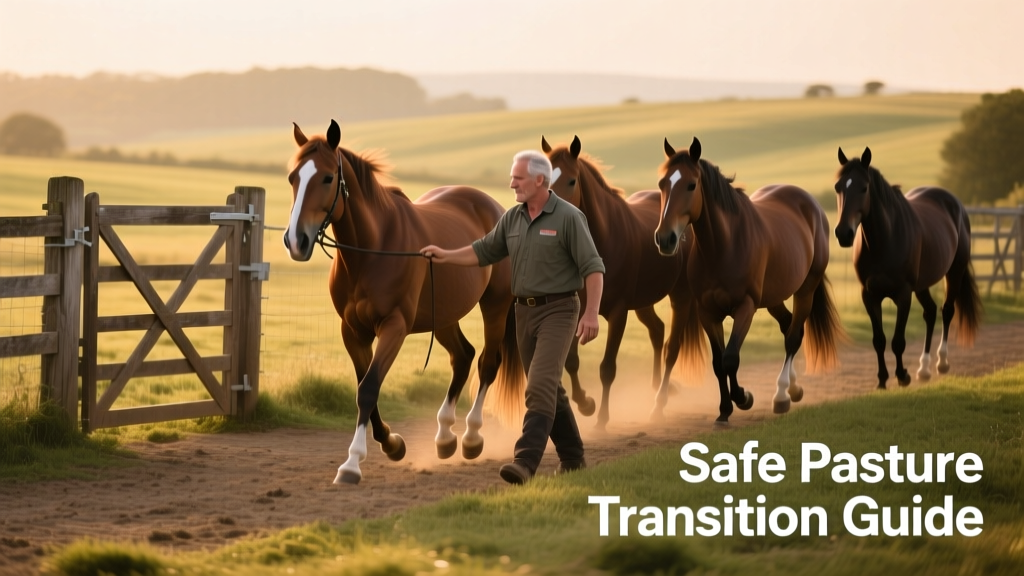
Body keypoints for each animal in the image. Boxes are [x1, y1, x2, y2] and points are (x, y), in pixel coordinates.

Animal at [284, 120, 525, 484]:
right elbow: (365, 387)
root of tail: (493, 207)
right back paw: (444, 437)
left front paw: (352, 463)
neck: (374, 249)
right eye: (292, 177)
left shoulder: (394, 326)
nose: (296, 241)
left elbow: (369, 387)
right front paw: (392, 443)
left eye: (326, 177)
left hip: (494, 307)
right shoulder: (352, 331)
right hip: (443, 316)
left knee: (486, 364)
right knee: (462, 357)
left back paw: (471, 438)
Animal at [542, 136, 705, 427]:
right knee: (657, 331)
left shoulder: (618, 313)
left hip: (681, 297)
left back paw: (659, 403)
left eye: (571, 181)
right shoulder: (578, 310)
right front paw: (586, 404)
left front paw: (602, 419)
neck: (603, 241)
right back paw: (655, 388)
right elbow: (571, 360)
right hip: (643, 302)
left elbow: (607, 368)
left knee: (671, 347)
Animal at [654, 137, 843, 426]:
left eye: (691, 185)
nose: (665, 238)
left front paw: (743, 398)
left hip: (805, 290)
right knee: (788, 325)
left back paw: (782, 395)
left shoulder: (746, 307)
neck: (724, 246)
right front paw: (724, 409)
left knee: (793, 336)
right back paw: (794, 388)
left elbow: (731, 357)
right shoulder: (708, 312)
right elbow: (718, 362)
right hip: (773, 297)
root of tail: (809, 203)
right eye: (662, 183)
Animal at [834, 147, 981, 388]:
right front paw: (882, 379)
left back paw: (941, 363)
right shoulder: (869, 295)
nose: (843, 233)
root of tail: (954, 203)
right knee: (930, 312)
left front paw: (902, 375)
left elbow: (897, 341)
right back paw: (924, 369)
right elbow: (879, 340)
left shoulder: (903, 294)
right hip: (922, 285)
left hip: (954, 273)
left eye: (864, 187)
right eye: (838, 187)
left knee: (947, 311)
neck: (885, 240)